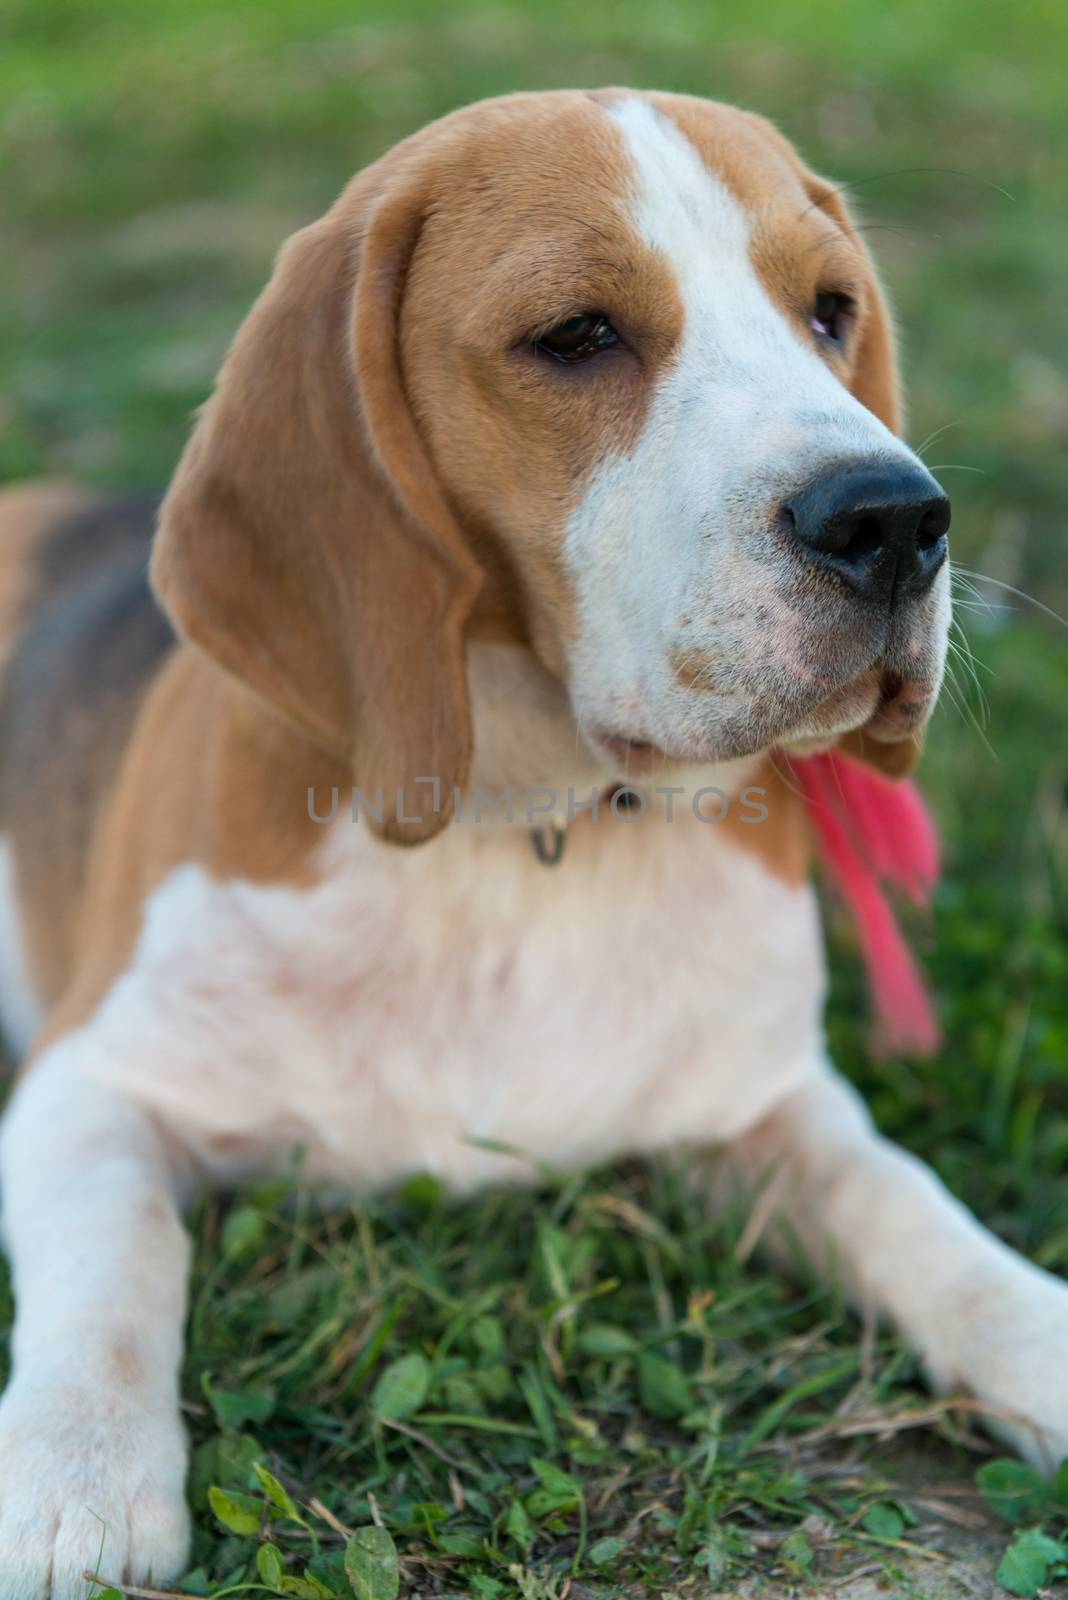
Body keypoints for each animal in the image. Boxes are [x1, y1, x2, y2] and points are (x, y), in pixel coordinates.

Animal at [2, 90, 1068, 1600]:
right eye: (577, 336)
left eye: (830, 311)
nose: (895, 520)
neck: (528, 834)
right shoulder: (87, 1080)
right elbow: (113, 1262)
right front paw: (77, 1486)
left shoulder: (767, 1101)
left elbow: (917, 1212)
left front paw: (1044, 1338)